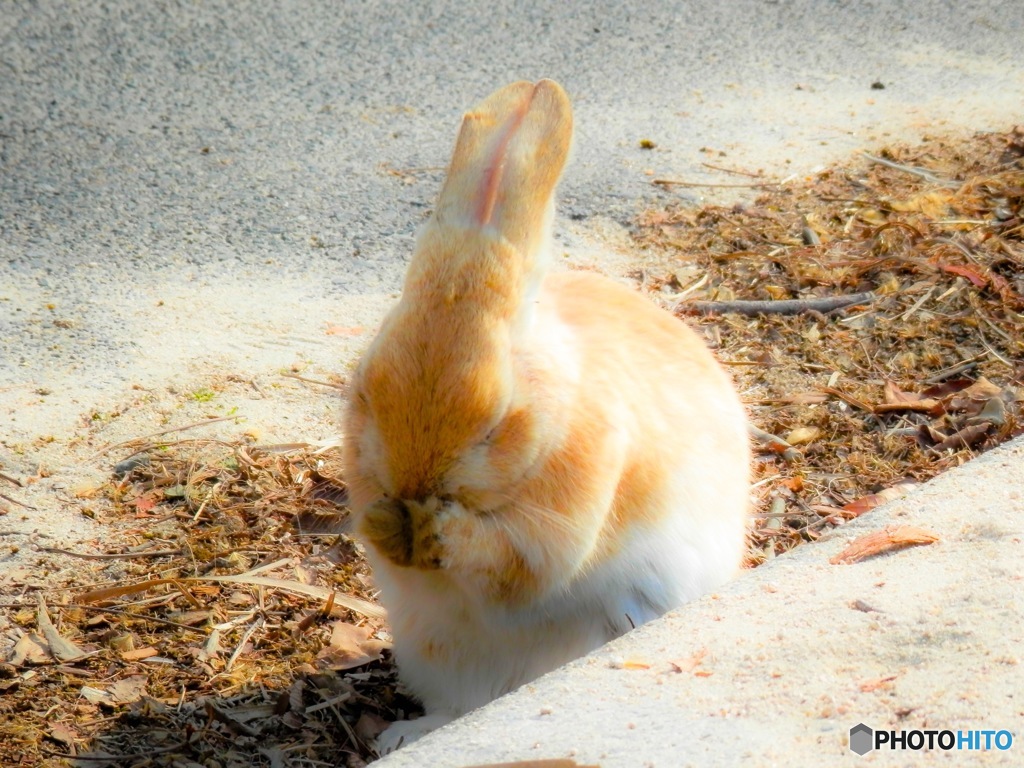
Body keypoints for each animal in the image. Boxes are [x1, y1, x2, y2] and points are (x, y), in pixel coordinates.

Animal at [339, 79, 749, 757]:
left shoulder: (557, 524)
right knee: (456, 709)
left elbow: (513, 565)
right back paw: (403, 736)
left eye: (495, 425)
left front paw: (438, 532)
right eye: (366, 393)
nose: (413, 485)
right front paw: (384, 524)